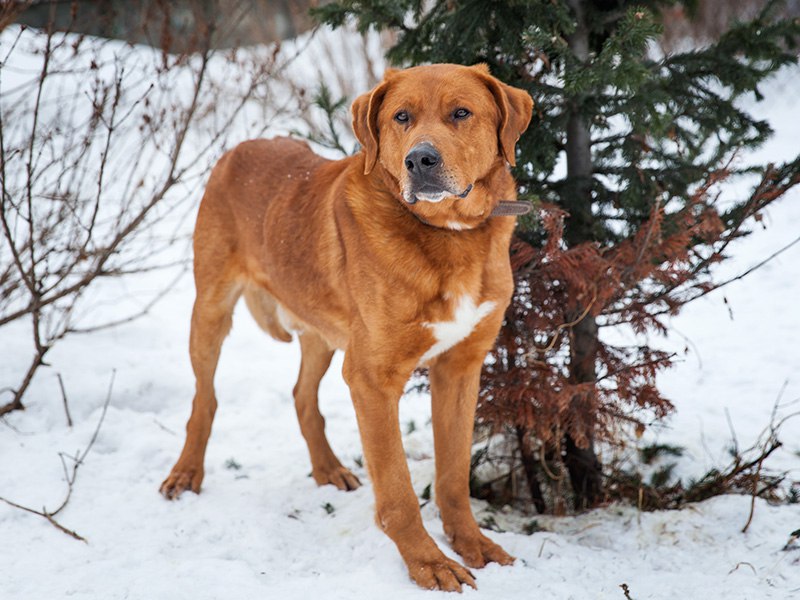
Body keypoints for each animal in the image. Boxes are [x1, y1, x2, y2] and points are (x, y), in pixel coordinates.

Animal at [161, 62, 532, 592]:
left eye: (461, 113)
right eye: (401, 117)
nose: (420, 160)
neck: (448, 234)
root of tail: (241, 147)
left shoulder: (460, 368)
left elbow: (453, 476)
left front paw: (473, 543)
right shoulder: (373, 379)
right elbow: (397, 490)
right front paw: (428, 564)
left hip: (321, 331)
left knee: (302, 396)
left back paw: (328, 469)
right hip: (210, 309)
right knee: (204, 399)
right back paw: (186, 473)